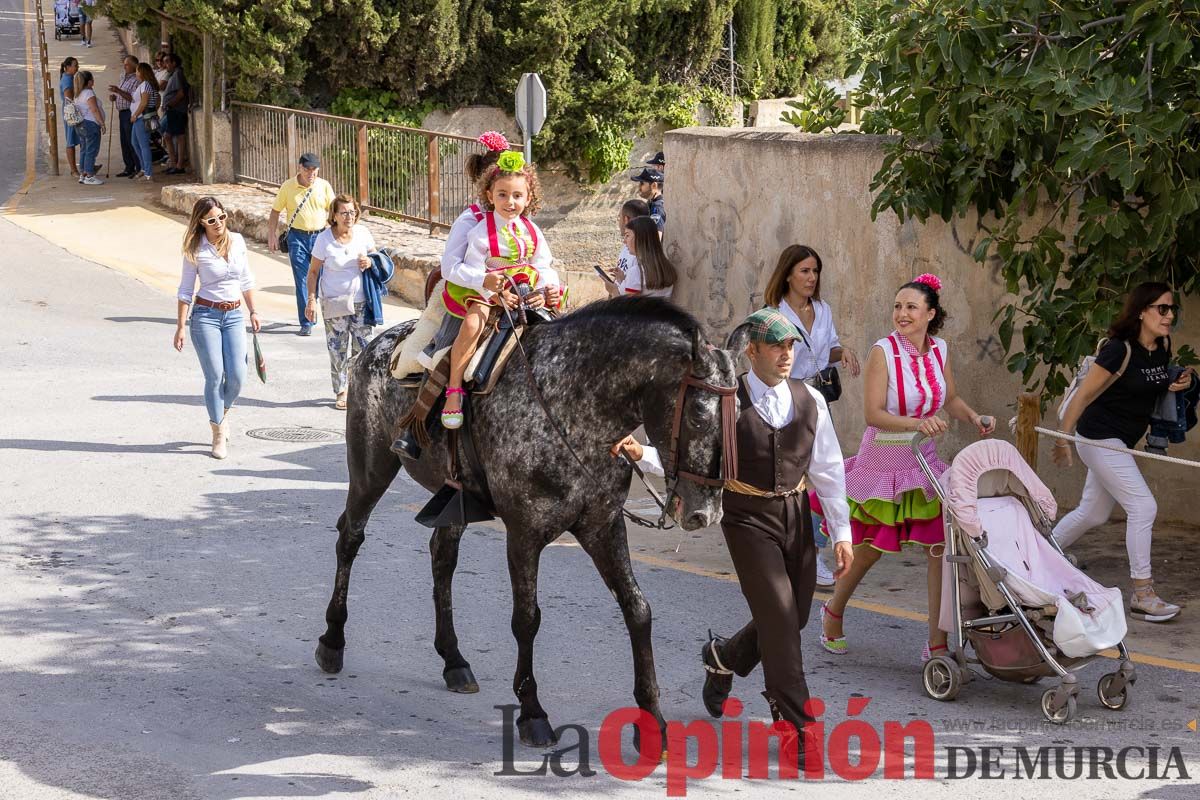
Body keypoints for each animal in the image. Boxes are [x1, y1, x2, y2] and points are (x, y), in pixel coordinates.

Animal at [314, 296, 734, 753]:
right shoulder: (524, 534)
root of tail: (377, 345)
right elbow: (527, 619)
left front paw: (653, 721)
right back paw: (332, 641)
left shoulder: (603, 526)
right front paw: (533, 713)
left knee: (442, 557)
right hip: (371, 467)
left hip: (454, 500)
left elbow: (637, 610)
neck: (573, 406)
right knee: (350, 536)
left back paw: (454, 660)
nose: (705, 512)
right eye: (698, 414)